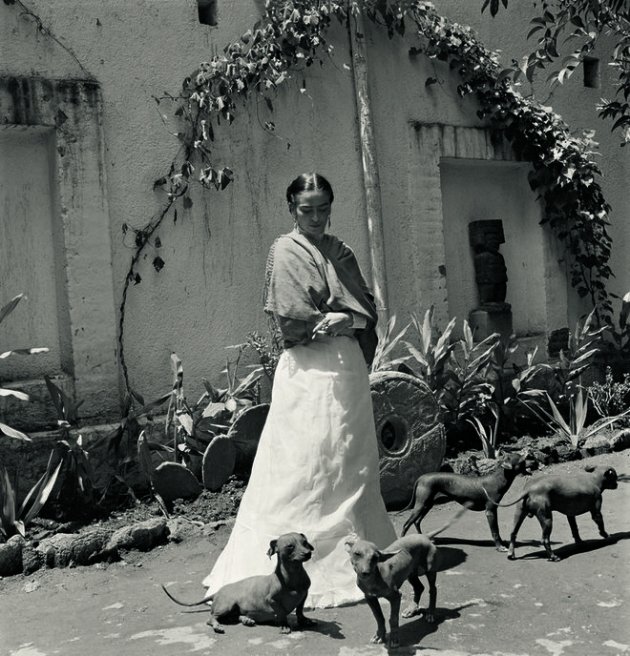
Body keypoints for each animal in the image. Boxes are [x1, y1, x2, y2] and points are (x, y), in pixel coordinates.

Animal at [346, 504, 470, 648]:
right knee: (419, 588)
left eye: (375, 557)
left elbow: (393, 619)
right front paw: (379, 635)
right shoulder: (370, 598)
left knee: (432, 589)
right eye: (357, 553)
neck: (374, 579)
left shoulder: (395, 596)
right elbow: (379, 617)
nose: (365, 572)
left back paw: (430, 614)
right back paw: (412, 609)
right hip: (410, 572)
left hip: (430, 570)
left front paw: (394, 639)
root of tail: (424, 536)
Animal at [404, 448, 532, 552]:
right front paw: (499, 547)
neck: (498, 479)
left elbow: (497, 530)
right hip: (421, 505)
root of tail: (421, 477)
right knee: (407, 524)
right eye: (522, 460)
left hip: (427, 504)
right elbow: (495, 531)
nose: (532, 459)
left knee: (416, 521)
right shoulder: (490, 511)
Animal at [492, 464, 620, 560]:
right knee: (545, 540)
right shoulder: (596, 511)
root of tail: (529, 489)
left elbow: (575, 529)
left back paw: (510, 553)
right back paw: (553, 556)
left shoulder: (570, 515)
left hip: (519, 515)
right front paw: (606, 535)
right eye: (614, 476)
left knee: (513, 533)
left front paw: (580, 542)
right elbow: (600, 524)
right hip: (547, 520)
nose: (617, 484)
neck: (593, 479)